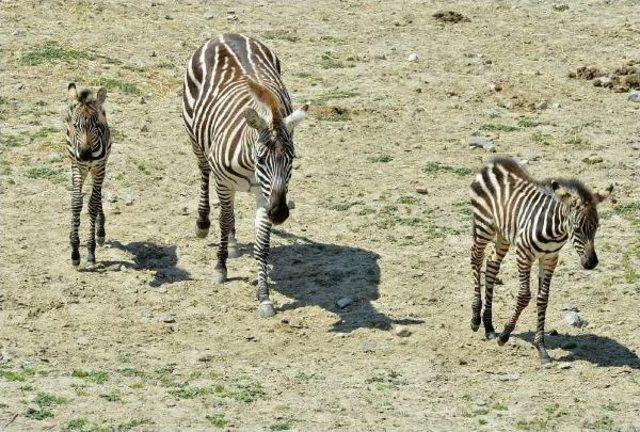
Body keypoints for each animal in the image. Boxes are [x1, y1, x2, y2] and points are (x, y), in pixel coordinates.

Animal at [65, 82, 112, 268]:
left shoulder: (98, 167)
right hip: (84, 167)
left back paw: (100, 232)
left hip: (99, 167)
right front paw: (75, 250)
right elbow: (76, 202)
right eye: (75, 125)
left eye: (96, 125)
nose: (85, 155)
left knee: (97, 196)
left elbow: (92, 204)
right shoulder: (78, 166)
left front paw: (91, 252)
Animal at [181, 33, 308, 318]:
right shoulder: (224, 182)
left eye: (292, 160)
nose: (280, 213)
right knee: (204, 173)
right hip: (195, 138)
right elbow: (224, 219)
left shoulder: (266, 193)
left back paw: (233, 243)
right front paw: (220, 268)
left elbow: (262, 244)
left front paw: (264, 297)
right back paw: (203, 223)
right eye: (261, 159)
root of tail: (226, 35)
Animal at [468, 157, 612, 362]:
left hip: (503, 233)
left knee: (491, 265)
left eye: (596, 227)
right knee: (476, 258)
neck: (555, 231)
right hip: (484, 224)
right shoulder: (523, 254)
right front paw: (505, 335)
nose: (591, 263)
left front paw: (541, 347)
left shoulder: (550, 258)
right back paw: (475, 319)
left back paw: (488, 327)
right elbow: (524, 296)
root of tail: (494, 162)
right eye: (577, 228)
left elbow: (543, 298)